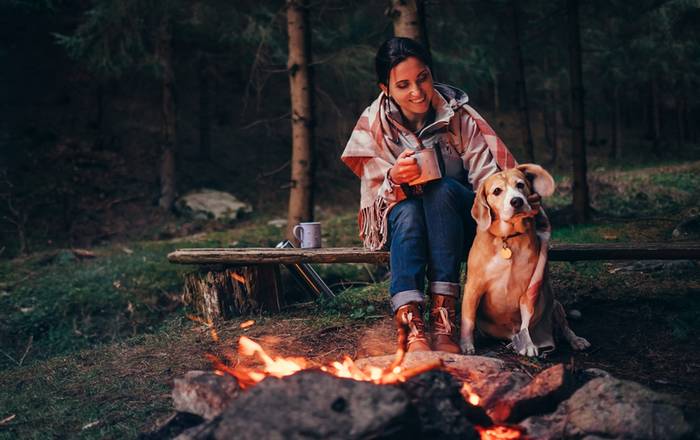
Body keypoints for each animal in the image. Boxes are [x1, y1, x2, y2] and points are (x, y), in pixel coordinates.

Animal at [460, 165, 592, 358]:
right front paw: (466, 345)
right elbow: (468, 319)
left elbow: (527, 321)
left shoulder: (529, 290)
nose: (516, 201)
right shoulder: (474, 287)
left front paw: (529, 344)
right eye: (497, 191)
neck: (508, 238)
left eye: (520, 185)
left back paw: (576, 340)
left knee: (565, 328)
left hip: (554, 304)